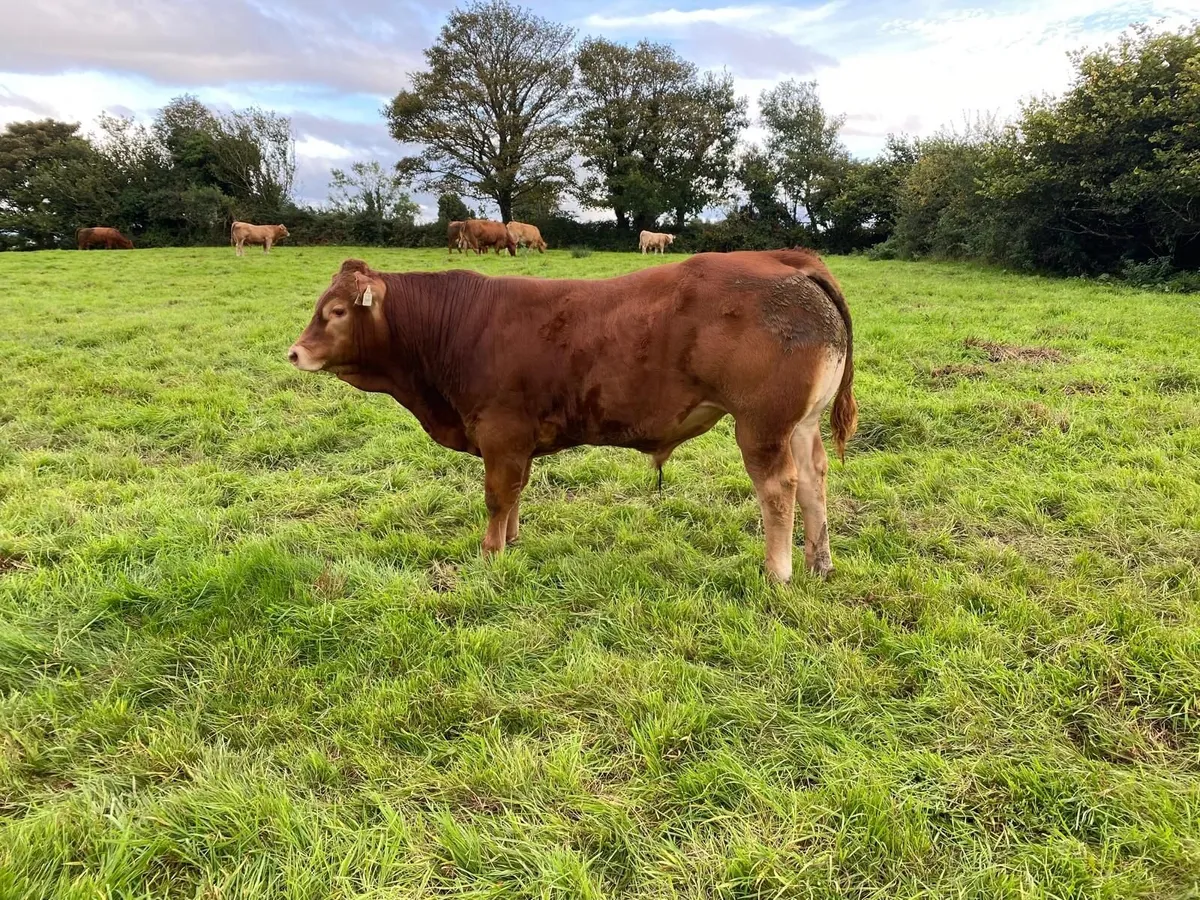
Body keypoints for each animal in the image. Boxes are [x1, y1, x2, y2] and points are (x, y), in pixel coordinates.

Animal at [287, 248, 857, 583]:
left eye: (336, 311)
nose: (294, 353)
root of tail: (784, 261)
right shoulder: (516, 441)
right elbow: (515, 492)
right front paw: (512, 540)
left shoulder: (499, 432)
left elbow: (496, 496)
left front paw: (490, 554)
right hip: (800, 425)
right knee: (814, 480)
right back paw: (819, 562)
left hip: (761, 426)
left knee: (779, 489)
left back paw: (778, 571)